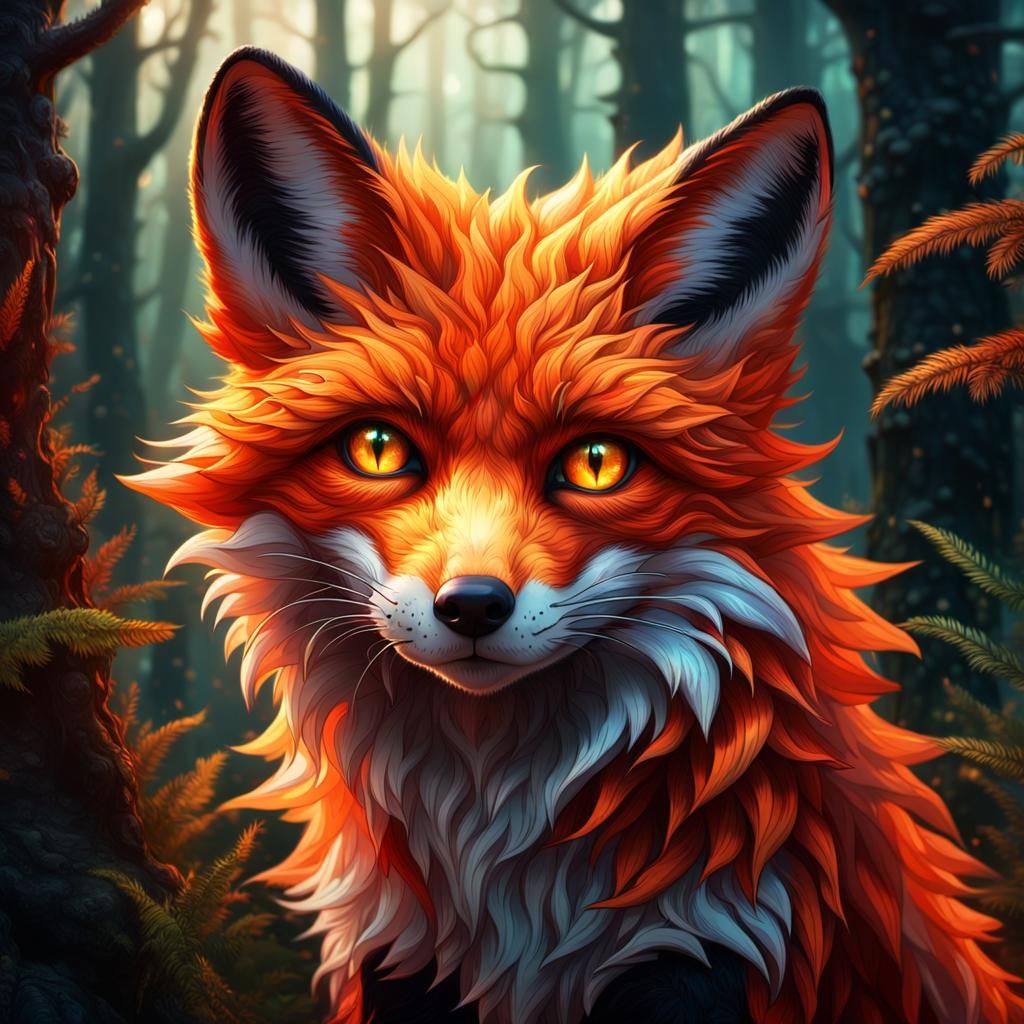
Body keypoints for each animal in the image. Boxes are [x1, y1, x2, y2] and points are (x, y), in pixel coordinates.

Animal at [127, 47, 1024, 1024]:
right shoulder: (400, 955)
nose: (472, 607)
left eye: (596, 463)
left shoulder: (720, 941)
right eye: (378, 448)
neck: (506, 885)